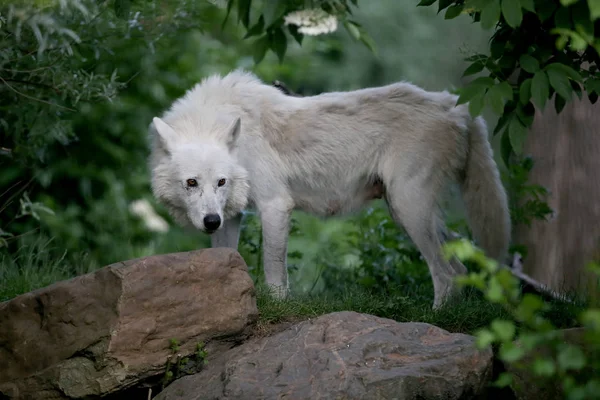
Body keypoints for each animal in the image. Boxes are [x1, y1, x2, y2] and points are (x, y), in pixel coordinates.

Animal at [150, 69, 510, 308]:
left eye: (220, 182)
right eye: (191, 183)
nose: (210, 221)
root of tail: (456, 105)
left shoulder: (275, 205)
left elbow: (274, 272)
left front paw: (277, 309)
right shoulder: (232, 215)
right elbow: (226, 258)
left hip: (409, 209)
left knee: (445, 274)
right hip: (406, 211)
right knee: (460, 268)